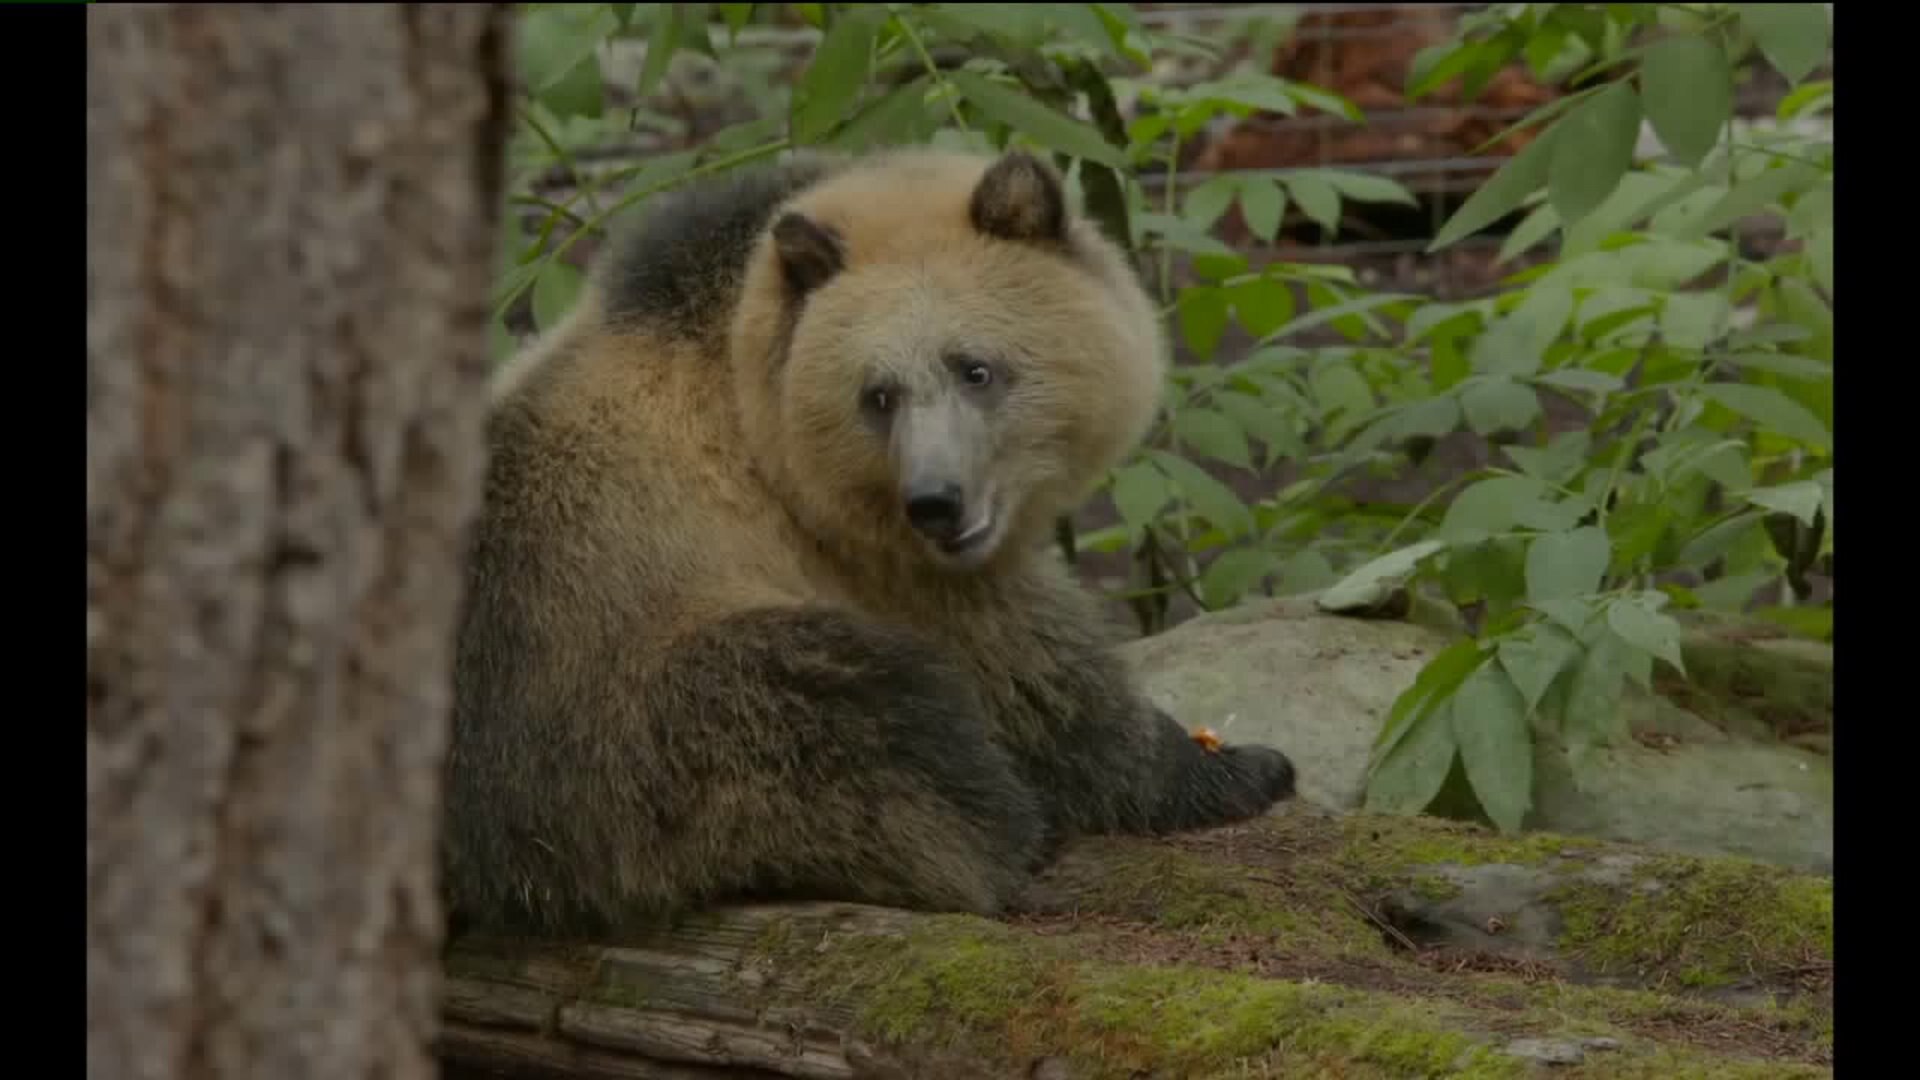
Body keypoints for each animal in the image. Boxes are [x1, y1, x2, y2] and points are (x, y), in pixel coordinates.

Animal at [445, 146, 1297, 939]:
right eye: (877, 395)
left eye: (975, 368)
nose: (938, 503)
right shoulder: (870, 563)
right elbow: (1045, 682)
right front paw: (1234, 766)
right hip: (618, 715)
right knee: (870, 721)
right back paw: (1004, 832)